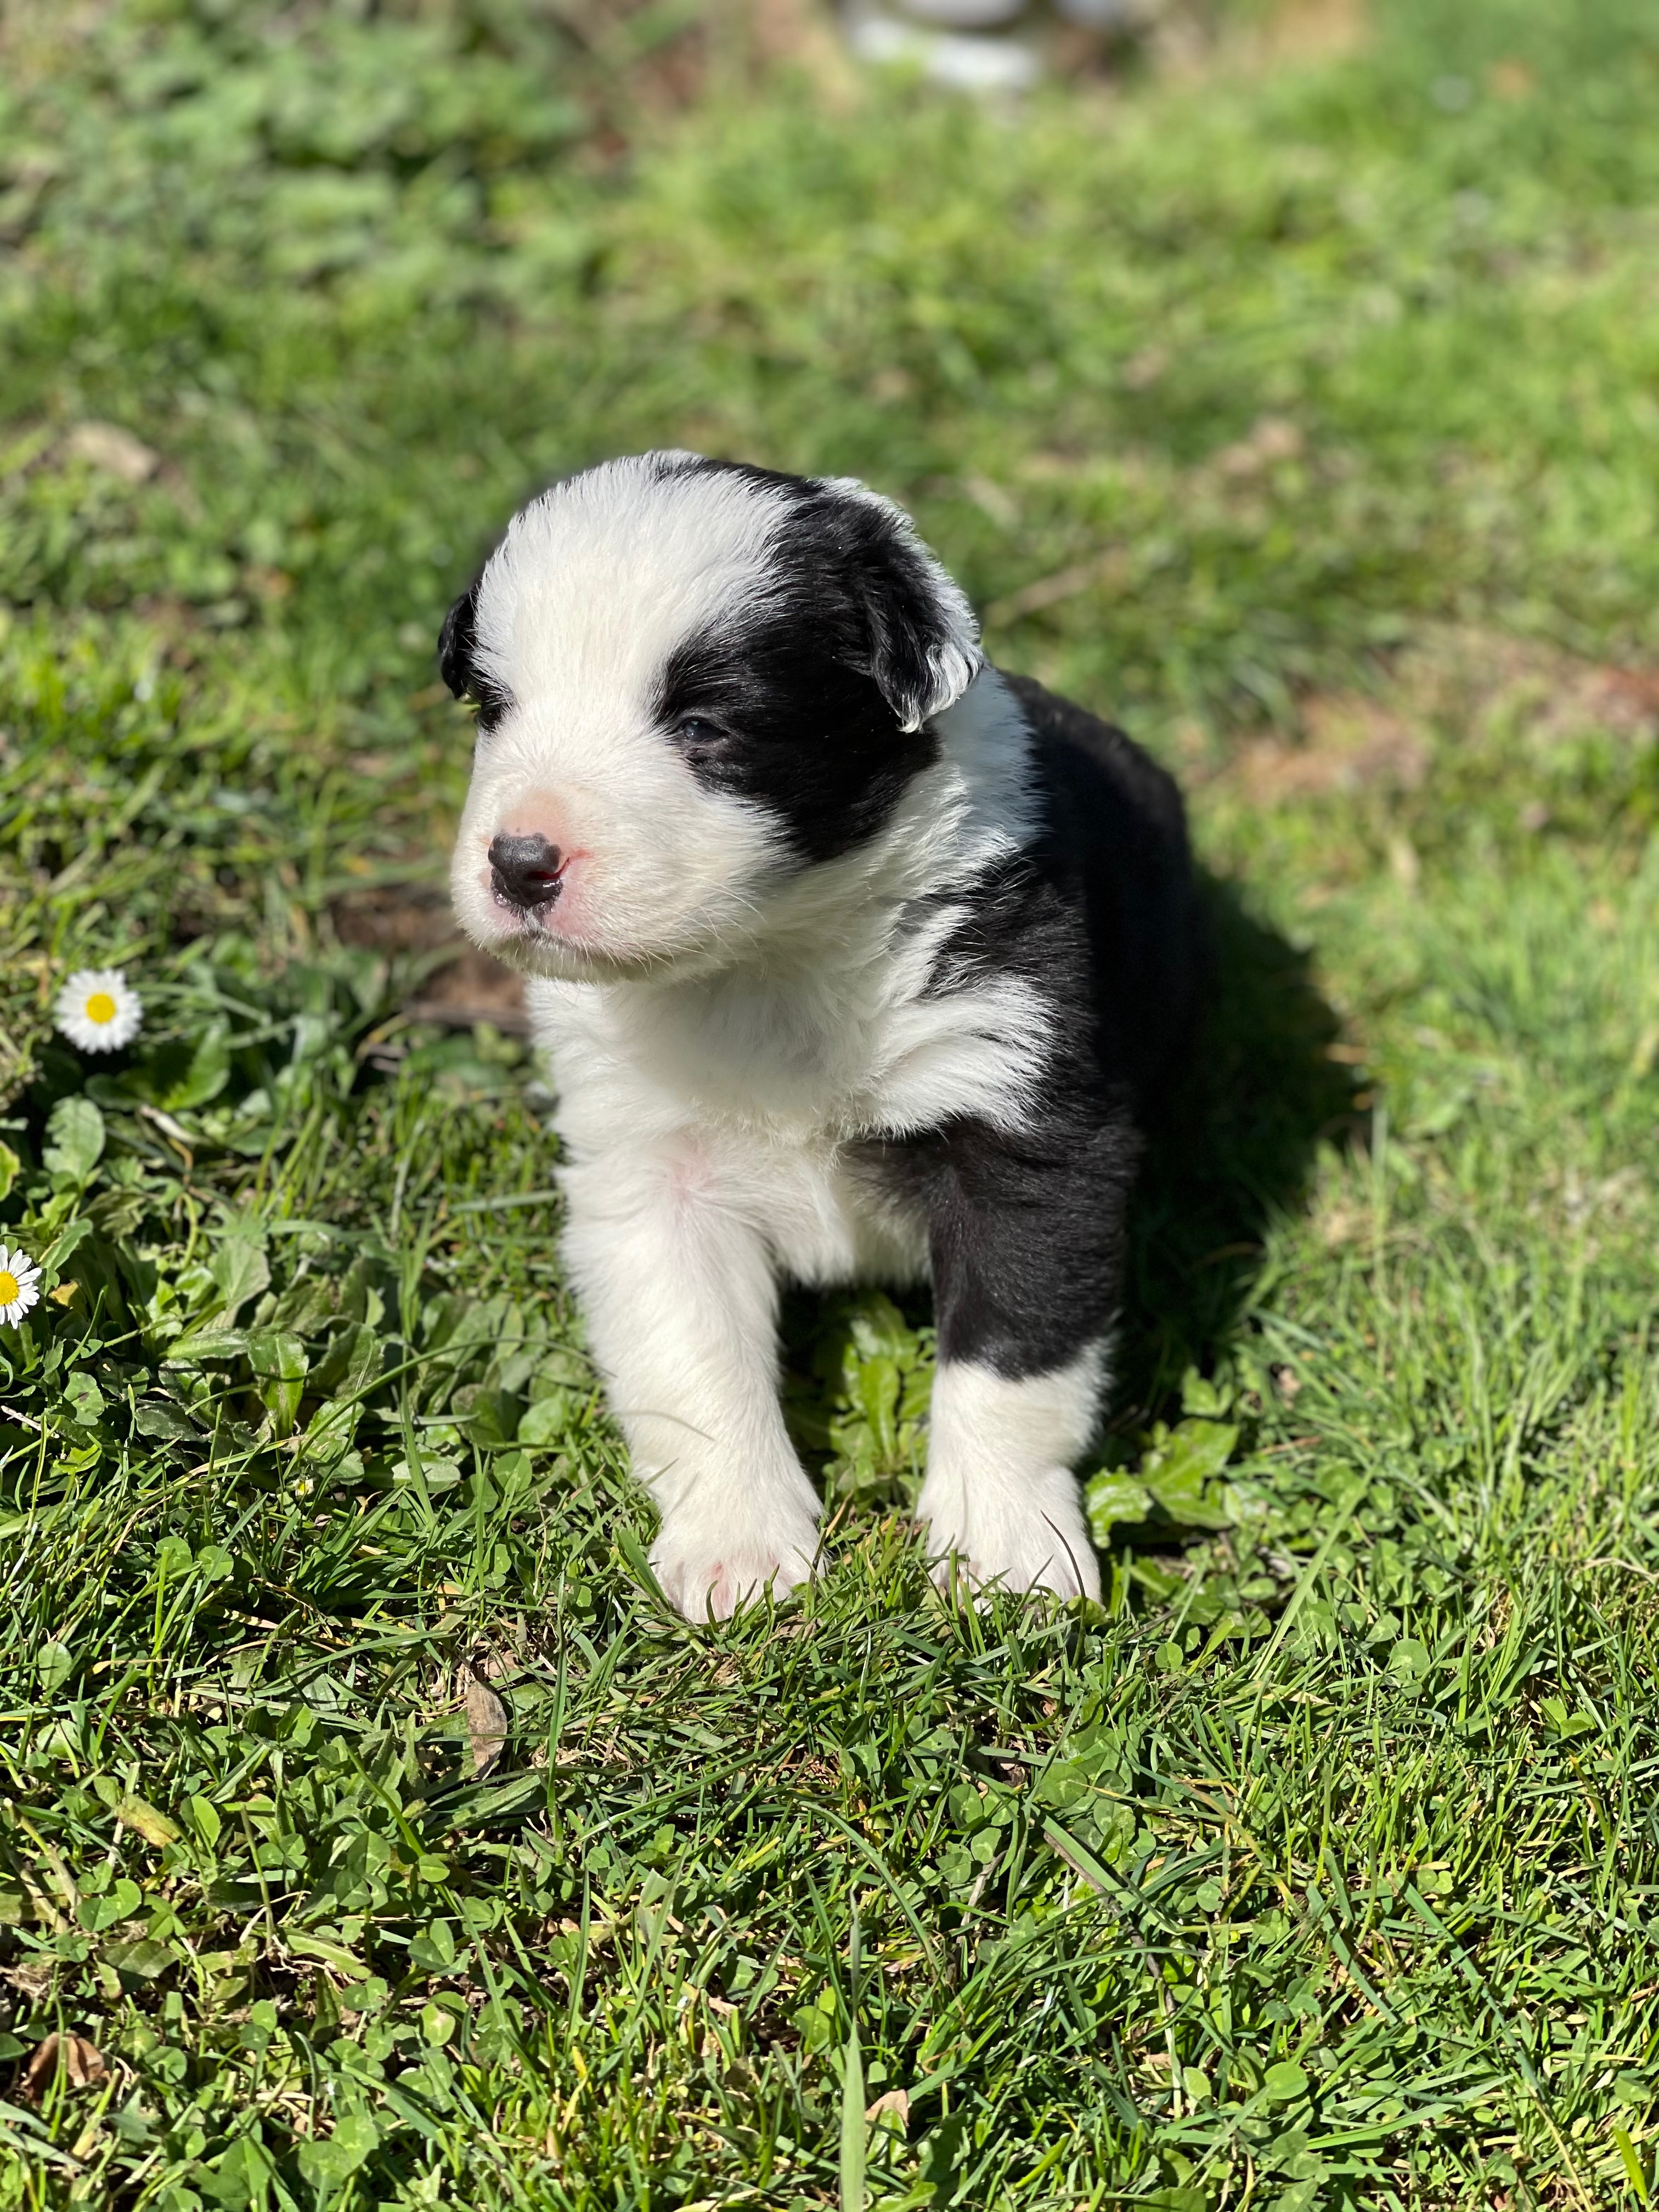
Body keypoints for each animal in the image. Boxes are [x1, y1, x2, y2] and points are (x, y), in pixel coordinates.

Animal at [444, 453, 1194, 1628]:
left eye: (704, 727)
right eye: (493, 709)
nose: (520, 862)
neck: (769, 960)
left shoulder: (1022, 1127)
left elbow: (1009, 1354)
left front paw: (1004, 1551)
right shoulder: (647, 1165)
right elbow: (691, 1357)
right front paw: (737, 1550)